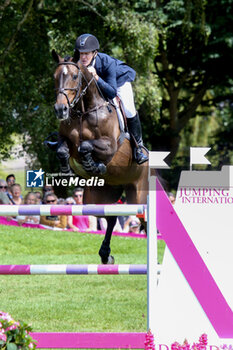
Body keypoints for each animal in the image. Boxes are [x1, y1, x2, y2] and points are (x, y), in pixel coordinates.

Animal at [52, 49, 148, 262]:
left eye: (74, 76)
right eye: (55, 77)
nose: (61, 109)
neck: (83, 111)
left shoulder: (110, 146)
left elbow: (85, 146)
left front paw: (93, 165)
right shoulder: (64, 139)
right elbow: (63, 149)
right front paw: (67, 170)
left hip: (138, 195)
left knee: (145, 221)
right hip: (96, 198)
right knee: (111, 218)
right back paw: (105, 255)